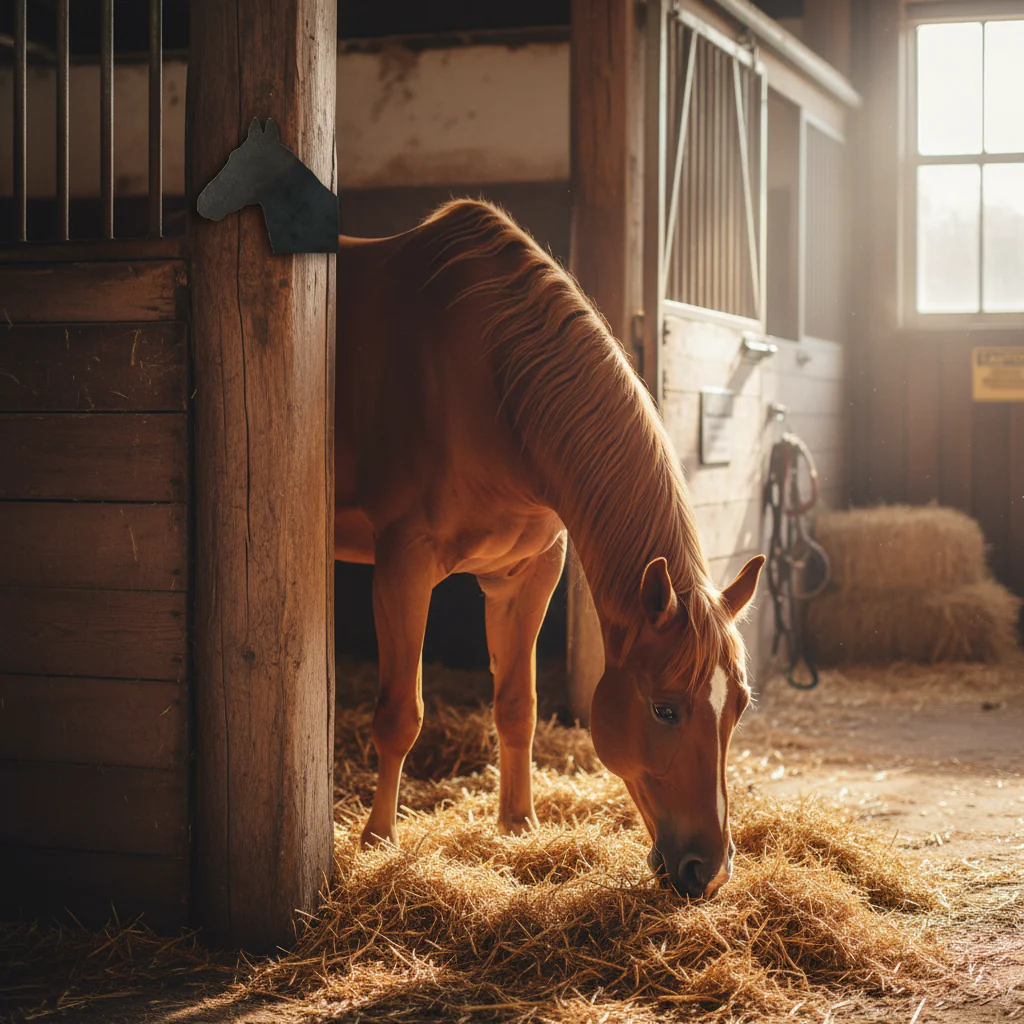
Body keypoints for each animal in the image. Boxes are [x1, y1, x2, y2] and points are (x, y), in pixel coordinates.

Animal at [198, 140, 764, 898]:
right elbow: (399, 715)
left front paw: (518, 825)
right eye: (665, 708)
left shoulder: (527, 573)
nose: (708, 870)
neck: (489, 382)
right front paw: (378, 839)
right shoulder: (403, 567)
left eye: (739, 706)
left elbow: (516, 704)